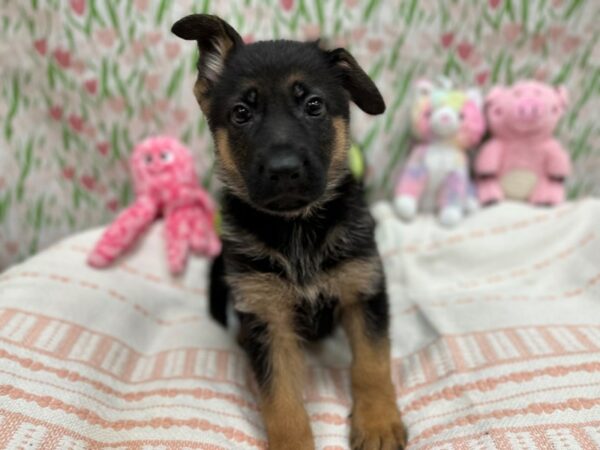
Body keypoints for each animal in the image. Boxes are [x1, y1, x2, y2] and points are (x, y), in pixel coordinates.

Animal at [172, 14, 408, 450]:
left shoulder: (362, 289)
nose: (284, 171)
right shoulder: (268, 317)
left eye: (313, 105)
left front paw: (378, 422)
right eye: (241, 112)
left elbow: (371, 364)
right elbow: (280, 399)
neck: (297, 227)